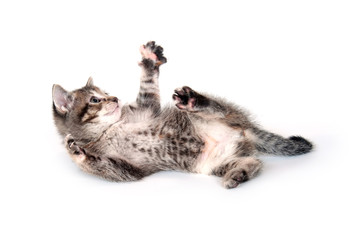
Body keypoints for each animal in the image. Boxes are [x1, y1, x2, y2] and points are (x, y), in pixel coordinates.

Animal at [51, 41, 312, 188]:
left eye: (106, 93)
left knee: (217, 108)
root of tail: (245, 130)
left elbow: (148, 85)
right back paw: (239, 174)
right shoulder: (127, 170)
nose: (115, 99)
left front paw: (150, 61)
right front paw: (76, 151)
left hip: (207, 116)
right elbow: (102, 166)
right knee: (254, 162)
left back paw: (194, 100)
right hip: (212, 164)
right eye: (95, 100)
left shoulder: (146, 107)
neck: (107, 130)